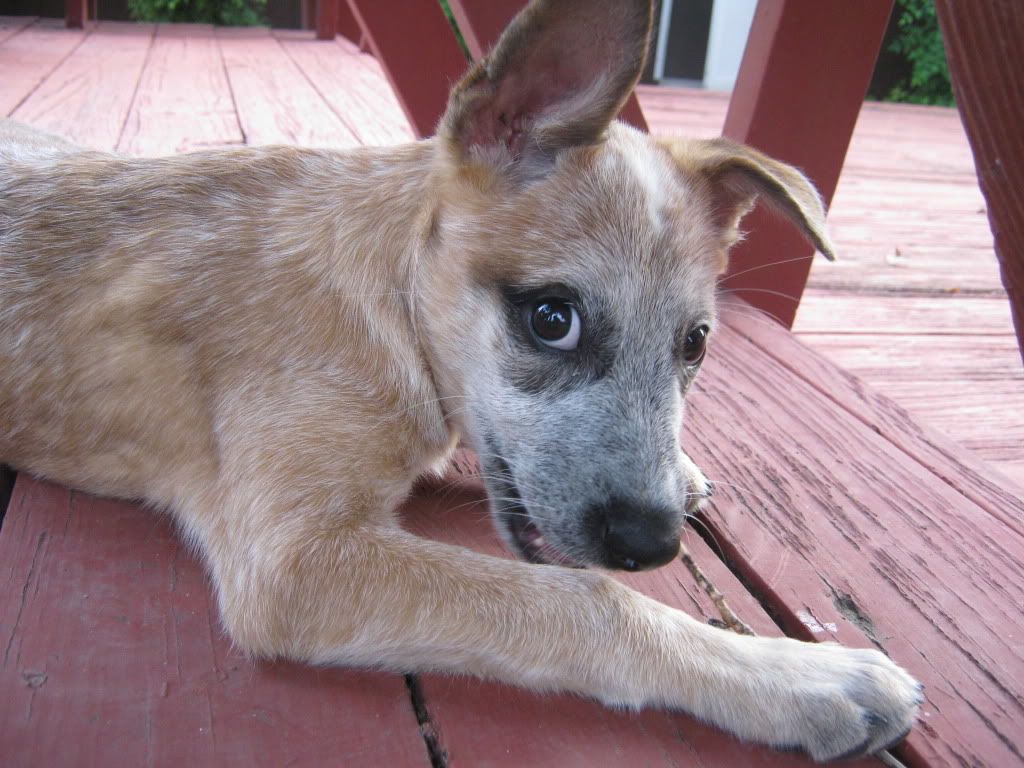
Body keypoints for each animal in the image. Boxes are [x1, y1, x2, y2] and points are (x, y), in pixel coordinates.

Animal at [0, 0, 925, 761]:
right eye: (551, 318)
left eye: (695, 344)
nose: (653, 542)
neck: (385, 305)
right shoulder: (293, 563)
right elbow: (584, 601)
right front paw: (801, 679)